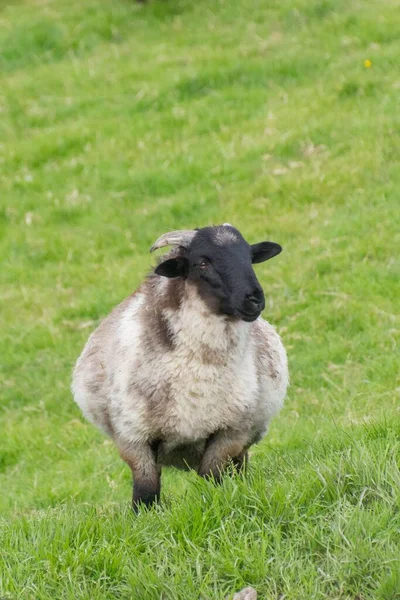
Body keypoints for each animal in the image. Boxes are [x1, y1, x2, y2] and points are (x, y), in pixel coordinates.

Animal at [72, 225, 288, 510]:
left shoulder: (231, 432)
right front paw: (144, 516)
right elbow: (146, 491)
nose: (254, 299)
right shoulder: (133, 437)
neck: (200, 370)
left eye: (249, 257)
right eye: (203, 263)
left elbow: (213, 479)